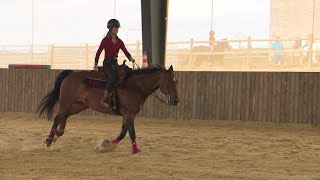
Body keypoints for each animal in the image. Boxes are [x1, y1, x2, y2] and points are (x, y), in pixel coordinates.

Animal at [37, 62, 179, 153]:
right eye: (169, 81)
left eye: (176, 81)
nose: (175, 100)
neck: (135, 86)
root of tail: (70, 73)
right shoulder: (128, 114)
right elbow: (131, 132)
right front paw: (135, 149)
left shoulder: (128, 115)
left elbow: (123, 132)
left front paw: (107, 145)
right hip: (66, 102)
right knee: (57, 117)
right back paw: (49, 140)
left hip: (80, 105)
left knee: (65, 116)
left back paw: (57, 134)